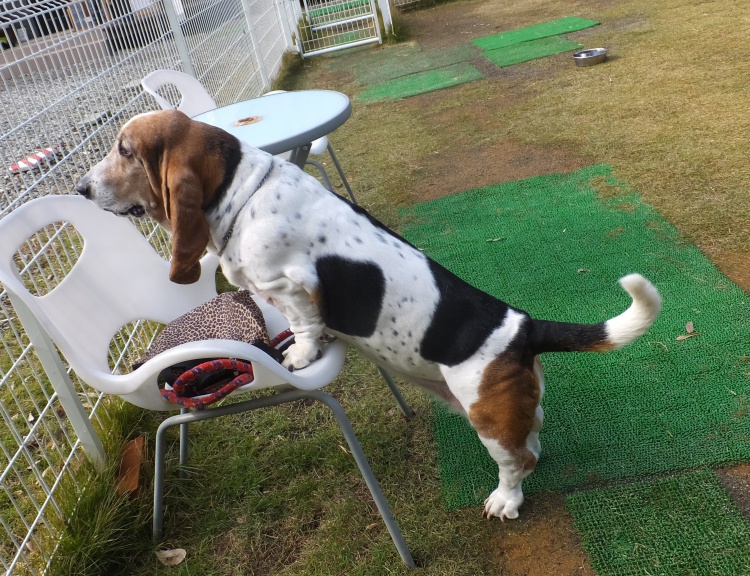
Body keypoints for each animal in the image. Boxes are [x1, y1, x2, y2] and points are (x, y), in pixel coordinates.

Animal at [76, 110, 661, 520]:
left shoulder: (291, 285)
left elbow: (305, 327)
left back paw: (506, 501)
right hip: (508, 407)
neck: (242, 189)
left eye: (126, 151)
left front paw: (300, 353)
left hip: (486, 417)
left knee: (519, 462)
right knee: (532, 438)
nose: (81, 189)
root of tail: (523, 326)